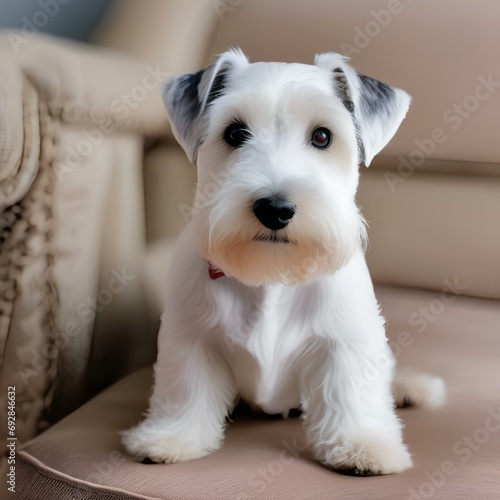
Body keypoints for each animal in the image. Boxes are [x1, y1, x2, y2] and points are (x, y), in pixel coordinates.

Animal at [124, 48, 446, 474]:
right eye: (235, 133)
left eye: (322, 136)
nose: (274, 208)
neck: (272, 277)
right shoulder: (191, 339)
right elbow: (186, 390)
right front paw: (172, 437)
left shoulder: (346, 340)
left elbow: (352, 392)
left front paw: (363, 445)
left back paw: (412, 388)